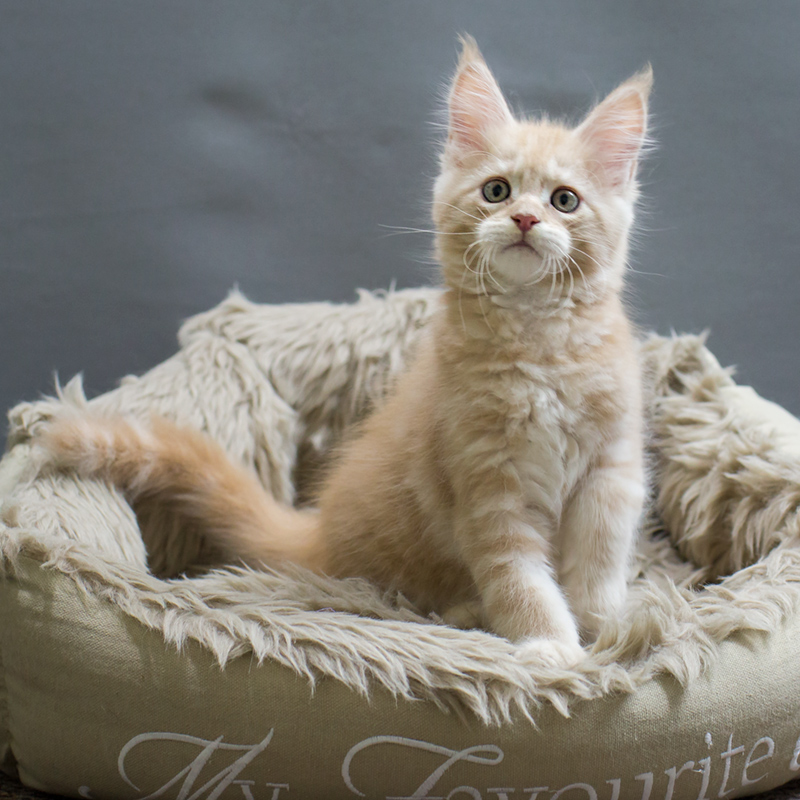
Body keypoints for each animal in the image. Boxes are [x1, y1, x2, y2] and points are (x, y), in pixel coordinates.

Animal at [35, 37, 650, 667]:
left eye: (565, 200)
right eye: (496, 190)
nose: (525, 218)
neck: (537, 340)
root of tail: (318, 531)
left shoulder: (610, 471)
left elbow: (599, 562)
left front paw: (607, 632)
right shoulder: (487, 487)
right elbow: (520, 578)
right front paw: (553, 648)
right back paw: (463, 612)